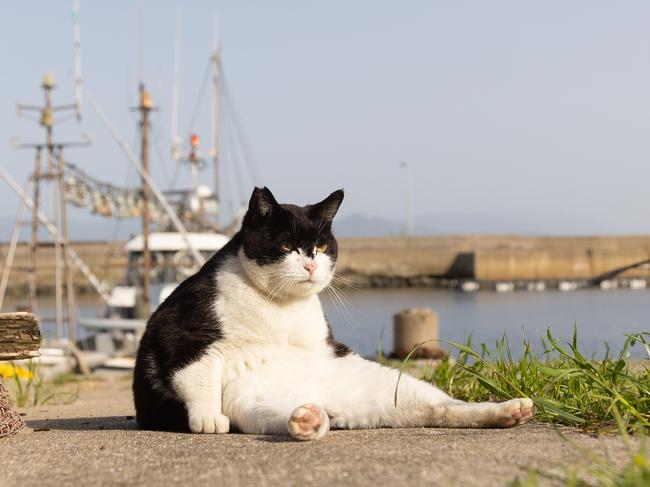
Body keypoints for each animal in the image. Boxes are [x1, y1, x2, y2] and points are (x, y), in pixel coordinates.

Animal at [132, 189, 532, 440]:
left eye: (323, 247)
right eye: (287, 245)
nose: (310, 265)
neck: (279, 307)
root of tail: (330, 403)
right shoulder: (180, 333)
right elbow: (198, 376)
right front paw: (206, 418)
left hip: (389, 385)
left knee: (442, 407)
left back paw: (508, 411)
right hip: (249, 403)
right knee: (286, 417)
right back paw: (309, 420)